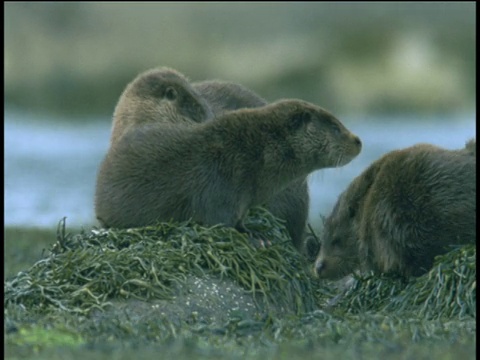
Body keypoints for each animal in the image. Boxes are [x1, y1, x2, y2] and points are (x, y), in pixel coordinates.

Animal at [95, 93, 362, 233]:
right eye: (335, 127)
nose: (358, 140)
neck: (254, 152)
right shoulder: (220, 184)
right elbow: (220, 221)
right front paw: (253, 234)